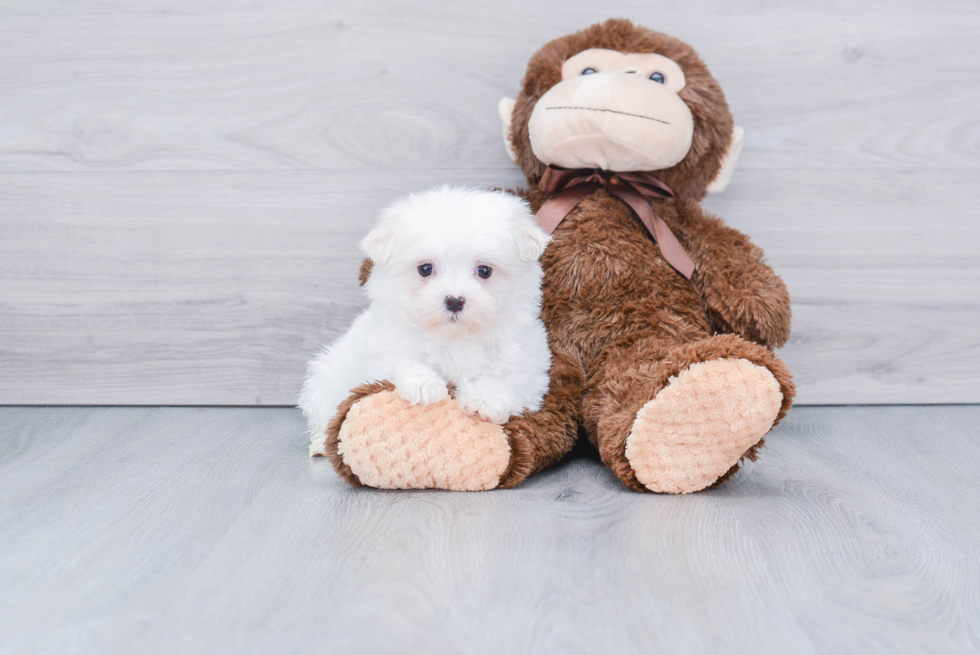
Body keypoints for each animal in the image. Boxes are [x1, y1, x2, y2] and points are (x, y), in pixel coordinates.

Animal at [302, 187, 552, 458]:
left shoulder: (528, 366)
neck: (455, 336)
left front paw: (485, 399)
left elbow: (508, 380)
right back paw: (320, 444)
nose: (454, 301)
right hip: (329, 377)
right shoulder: (383, 346)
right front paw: (424, 384)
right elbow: (400, 360)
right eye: (425, 269)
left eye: (485, 271)